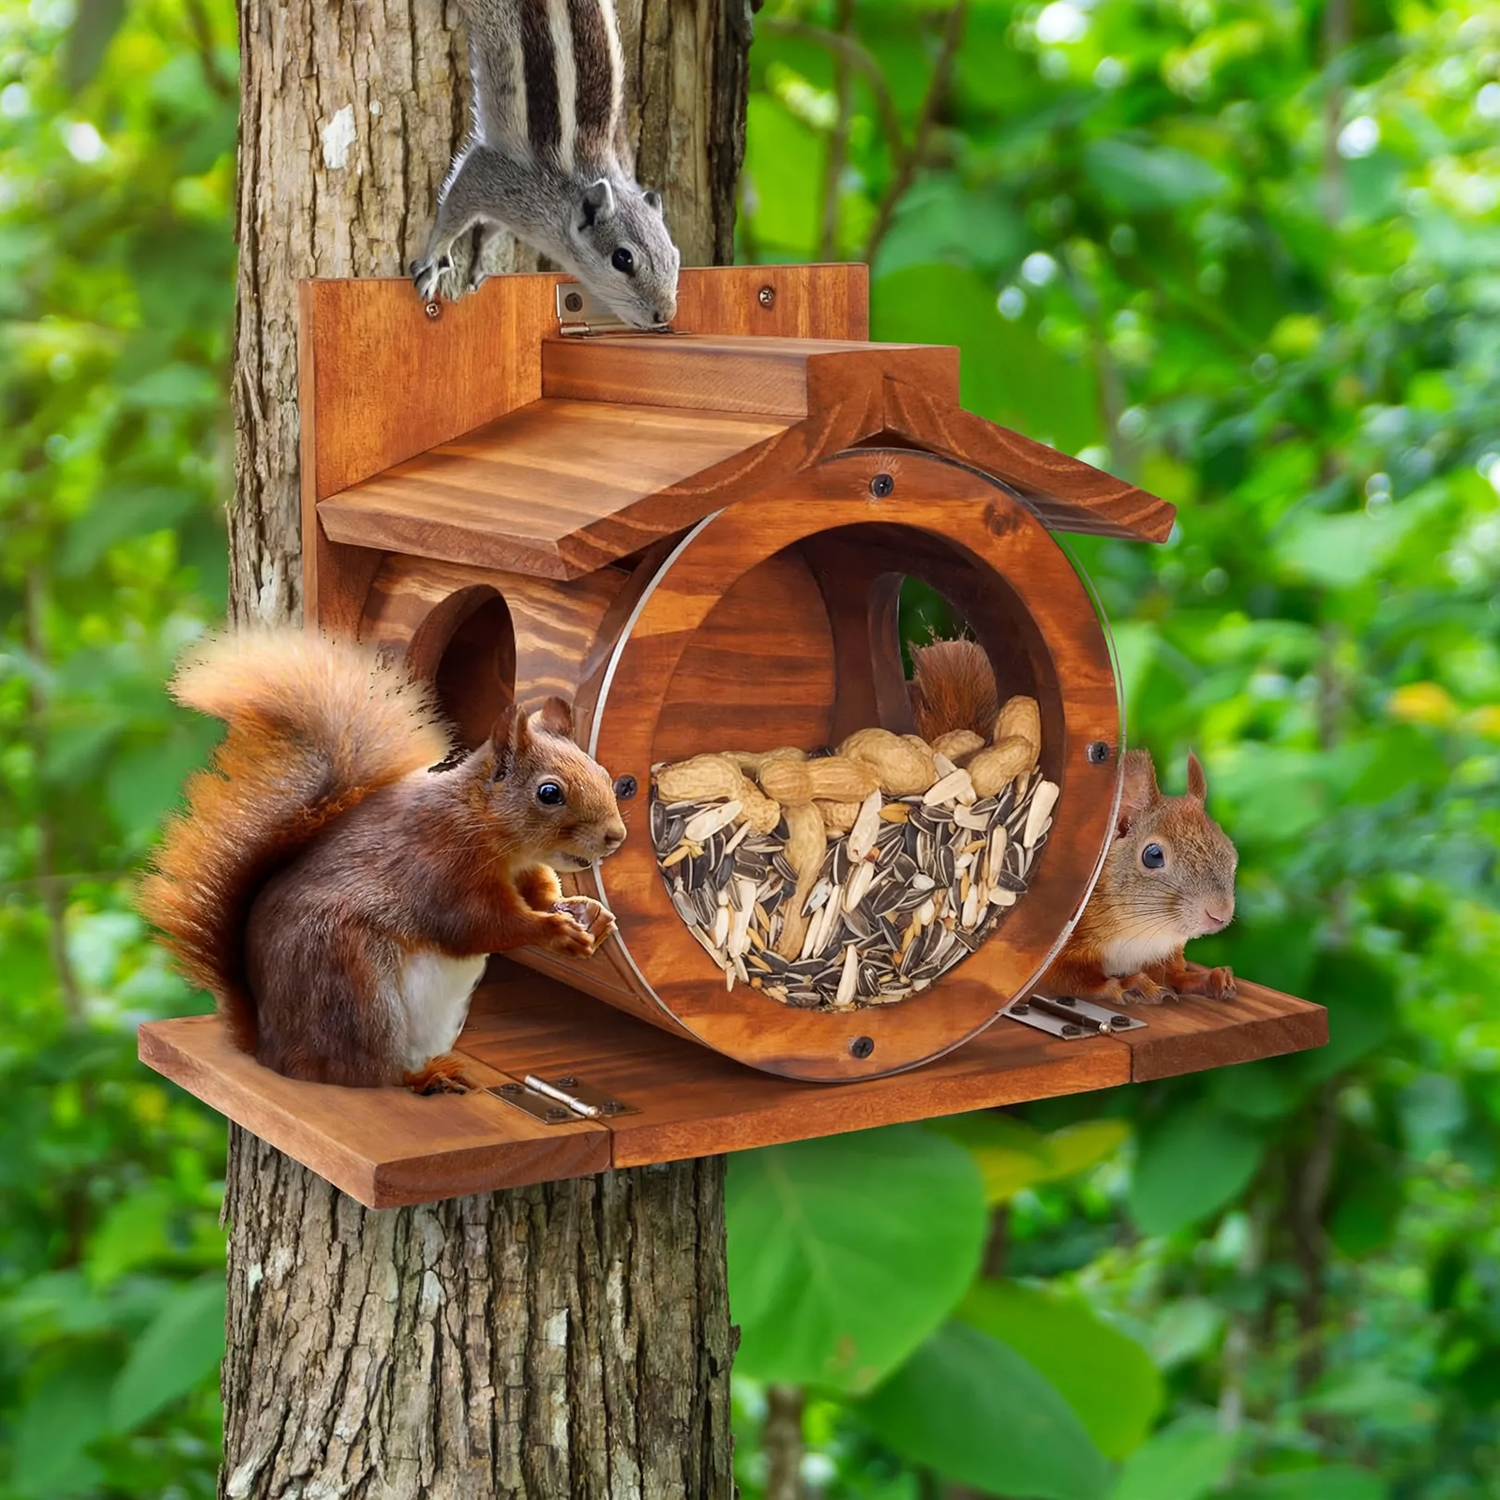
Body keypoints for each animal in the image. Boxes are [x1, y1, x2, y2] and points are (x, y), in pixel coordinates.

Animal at [137, 631, 628, 1094]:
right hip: (356, 988)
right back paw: (423, 1078)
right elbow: (479, 925)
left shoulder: (526, 869)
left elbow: (540, 892)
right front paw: (555, 931)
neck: (492, 832)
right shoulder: (440, 866)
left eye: (604, 775)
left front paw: (591, 914)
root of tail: (268, 1049)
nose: (616, 836)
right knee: (364, 1073)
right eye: (549, 792)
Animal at [412, 0, 681, 331]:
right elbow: (456, 206)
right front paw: (434, 259)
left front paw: (480, 261)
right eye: (622, 259)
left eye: (675, 256)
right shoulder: (497, 178)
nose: (665, 314)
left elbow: (489, 230)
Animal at [906, 635, 1238, 1004]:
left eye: (1230, 853)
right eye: (1153, 856)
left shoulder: (1162, 950)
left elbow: (1172, 972)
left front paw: (1206, 978)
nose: (1219, 914)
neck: (1142, 931)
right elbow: (1070, 980)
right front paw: (1127, 984)